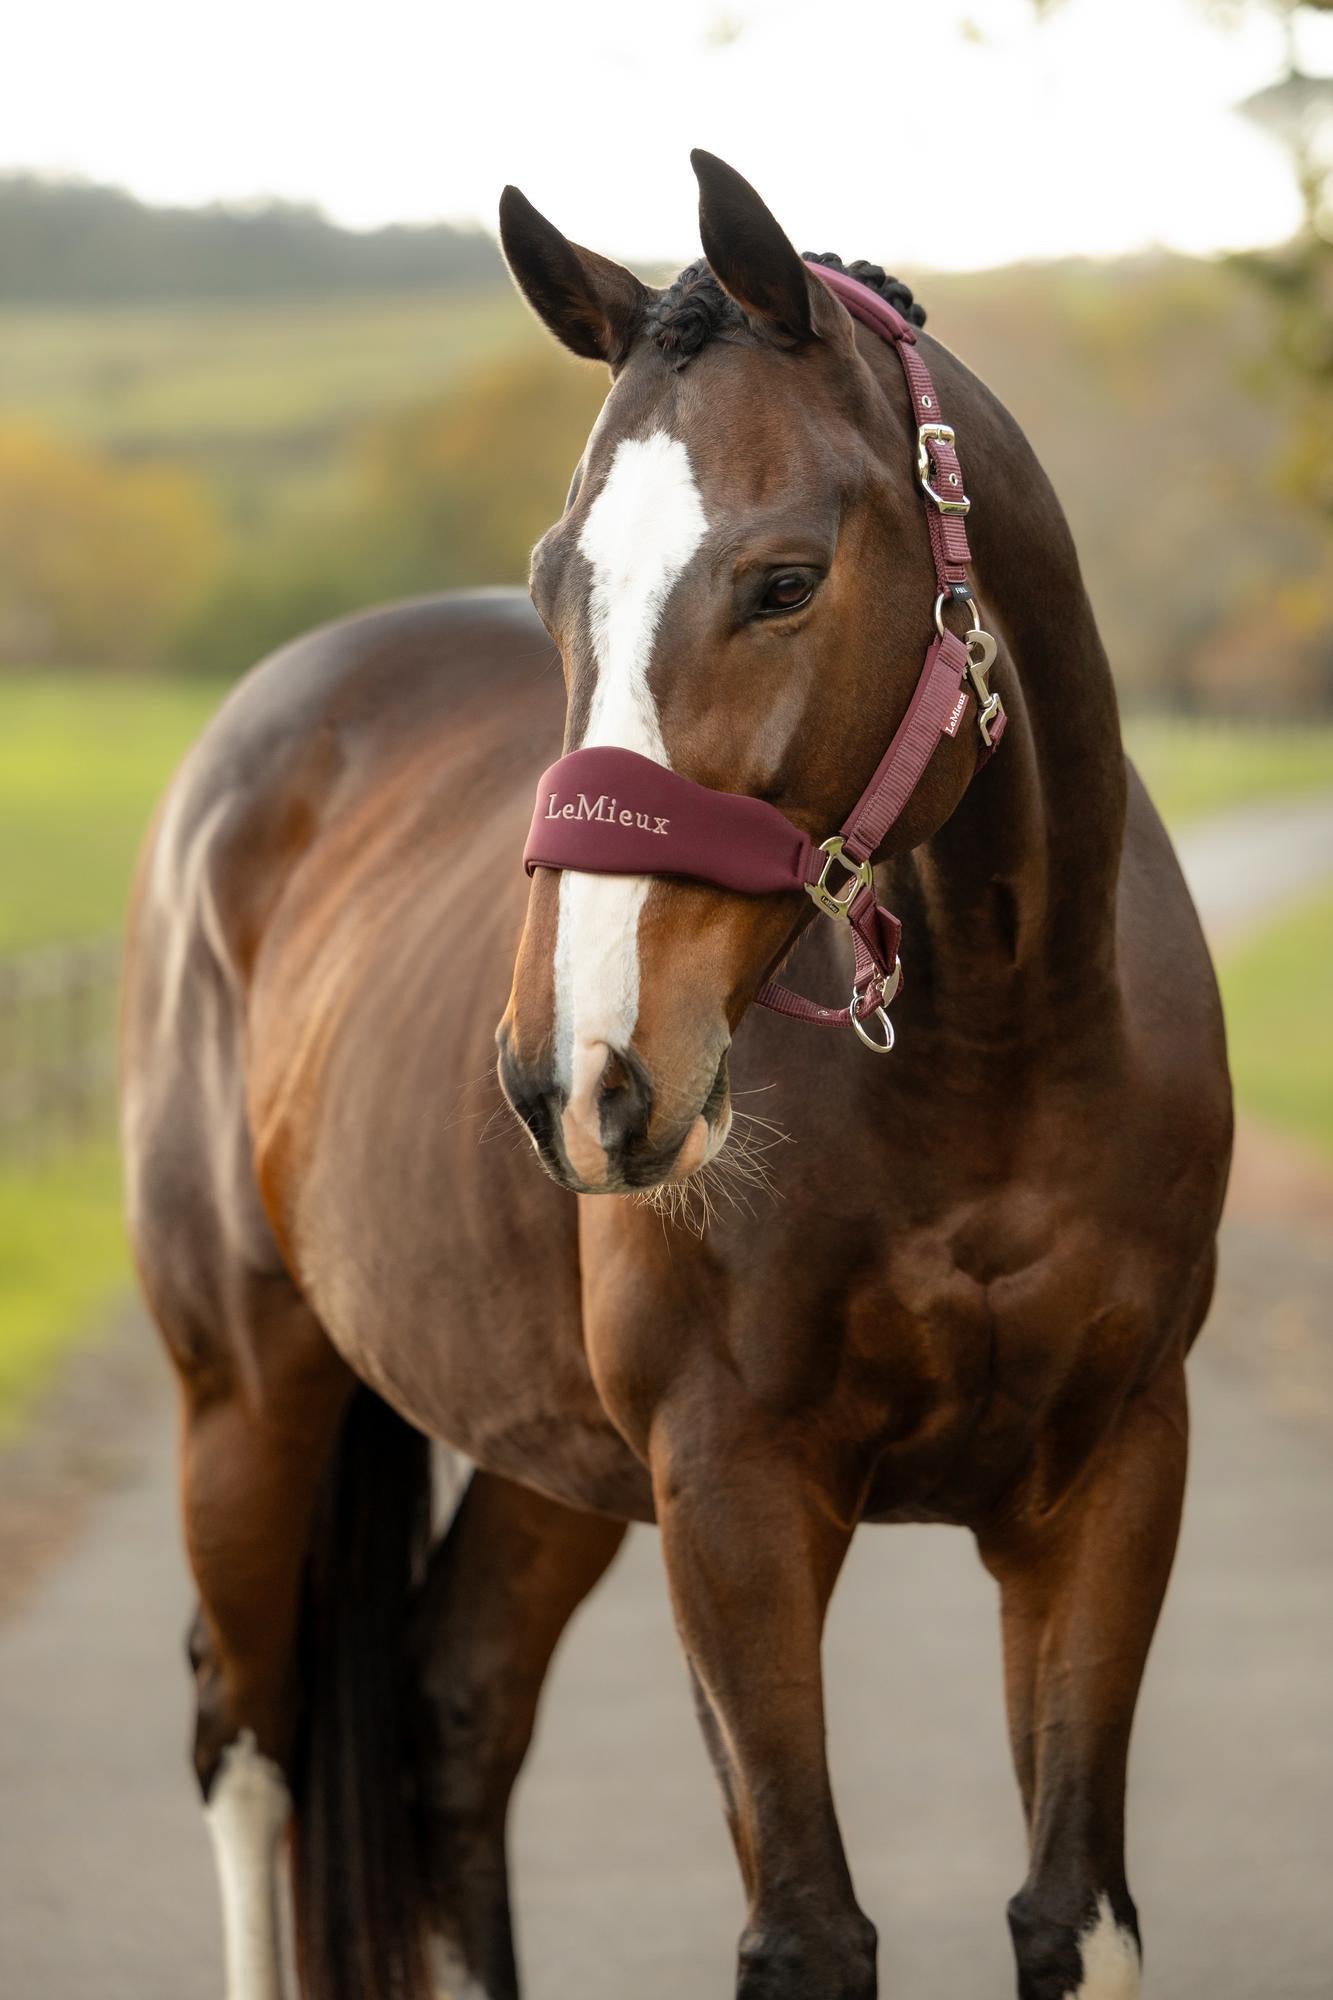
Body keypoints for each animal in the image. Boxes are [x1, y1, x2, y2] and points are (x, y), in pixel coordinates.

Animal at [120, 151, 1231, 2000]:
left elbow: (1072, 1914)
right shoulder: (729, 1493)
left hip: (536, 1455)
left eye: (784, 581)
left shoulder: (1109, 1479)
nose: (575, 1078)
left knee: (450, 1716)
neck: (1005, 1042)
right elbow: (807, 1931)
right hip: (246, 1391)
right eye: (550, 580)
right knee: (248, 1744)